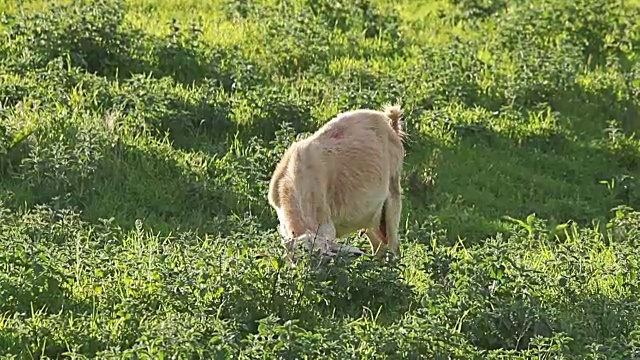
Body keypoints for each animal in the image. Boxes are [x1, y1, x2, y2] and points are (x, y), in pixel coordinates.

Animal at [268, 104, 408, 262]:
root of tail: (389, 121)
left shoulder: (325, 226)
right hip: (370, 215)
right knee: (379, 244)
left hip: (393, 194)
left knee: (394, 245)